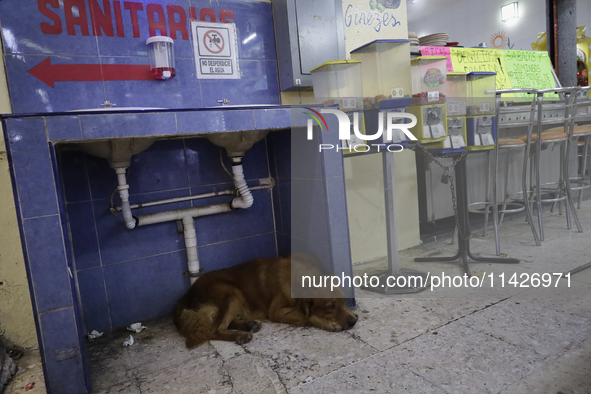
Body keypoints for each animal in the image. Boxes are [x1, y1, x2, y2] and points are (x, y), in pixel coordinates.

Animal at [173, 255, 358, 348]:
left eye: (344, 301)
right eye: (331, 307)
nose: (353, 321)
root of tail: (184, 296)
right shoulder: (276, 312)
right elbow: (308, 316)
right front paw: (329, 323)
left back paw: (249, 325)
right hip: (233, 292)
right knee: (214, 329)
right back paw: (241, 335)